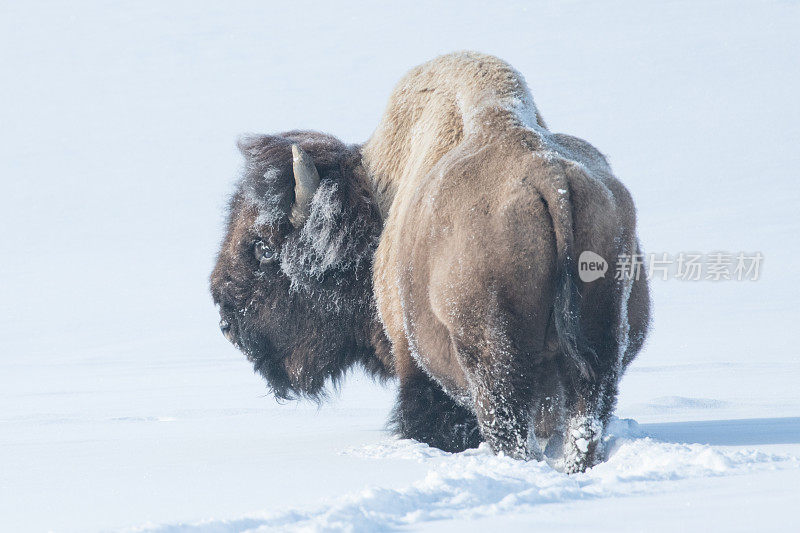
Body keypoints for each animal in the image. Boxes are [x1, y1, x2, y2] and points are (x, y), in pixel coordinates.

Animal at [211, 52, 648, 472]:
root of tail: (548, 177)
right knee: (583, 424)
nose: (226, 322)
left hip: (494, 363)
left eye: (263, 248)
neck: (378, 198)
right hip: (601, 341)